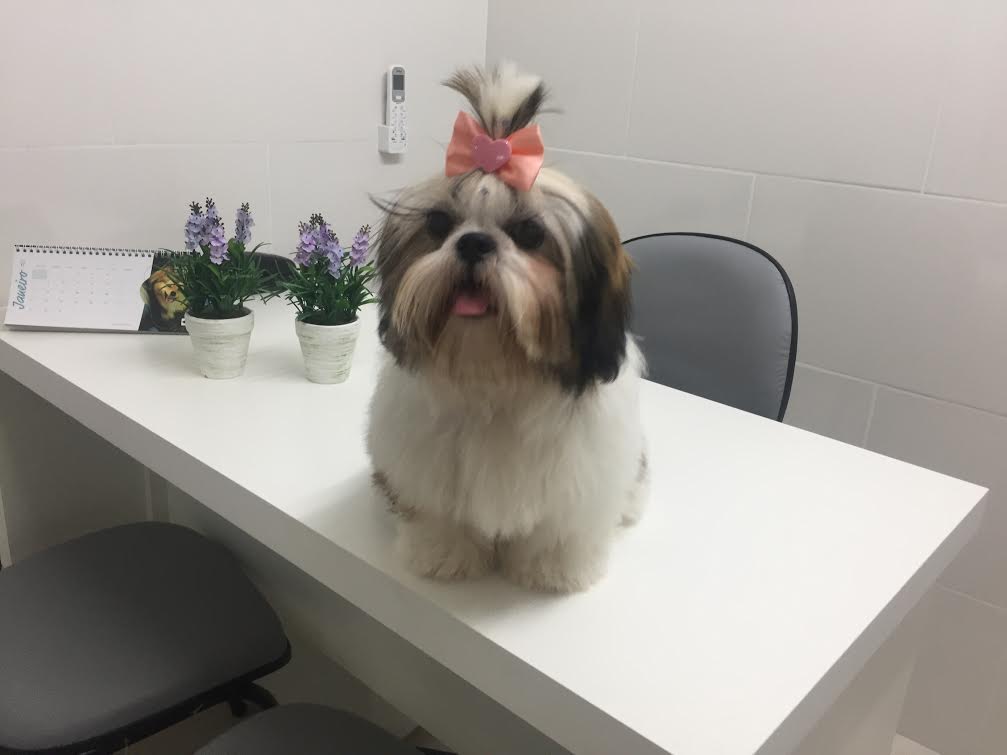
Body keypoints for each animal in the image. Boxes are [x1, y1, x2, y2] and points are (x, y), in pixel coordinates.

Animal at [367, 64, 646, 593]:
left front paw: (553, 570)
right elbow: (441, 516)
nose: (474, 242)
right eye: (439, 224)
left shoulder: (576, 482)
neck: (494, 374)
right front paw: (445, 555)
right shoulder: (426, 470)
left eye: (530, 234)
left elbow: (559, 530)